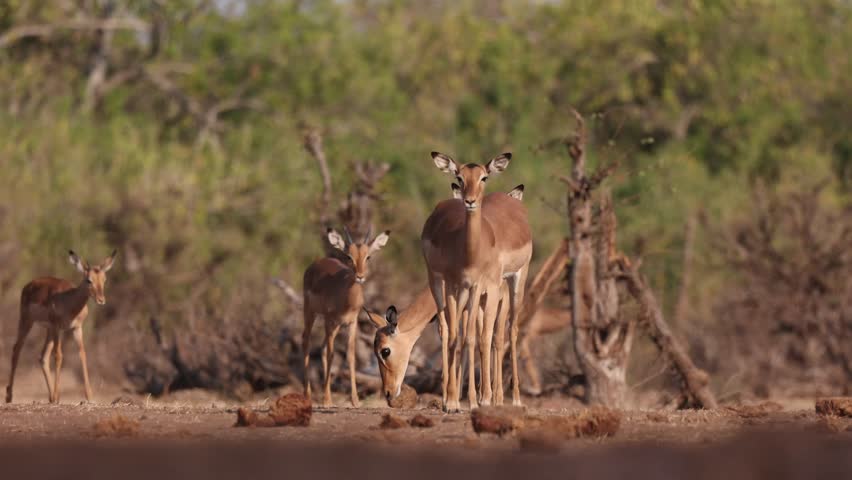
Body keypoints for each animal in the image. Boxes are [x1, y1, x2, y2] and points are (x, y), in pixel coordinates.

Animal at [6, 250, 117, 404]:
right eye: (89, 280)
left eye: (104, 279)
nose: (101, 300)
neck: (69, 301)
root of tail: (29, 284)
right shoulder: (57, 327)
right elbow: (59, 356)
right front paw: (59, 395)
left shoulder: (77, 329)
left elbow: (82, 354)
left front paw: (89, 396)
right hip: (27, 321)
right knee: (17, 349)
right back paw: (9, 397)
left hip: (48, 330)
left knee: (43, 357)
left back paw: (52, 397)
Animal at [302, 227, 389, 408]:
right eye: (349, 256)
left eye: (368, 256)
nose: (360, 276)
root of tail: (315, 264)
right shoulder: (329, 320)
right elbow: (332, 354)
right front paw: (327, 400)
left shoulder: (352, 322)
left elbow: (350, 356)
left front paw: (355, 400)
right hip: (311, 313)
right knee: (306, 341)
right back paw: (308, 396)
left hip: (335, 326)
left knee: (322, 347)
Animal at [423, 153, 532, 411]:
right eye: (459, 177)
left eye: (484, 177)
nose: (470, 201)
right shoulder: (456, 285)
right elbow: (460, 337)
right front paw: (455, 400)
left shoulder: (483, 289)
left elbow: (481, 337)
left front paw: (482, 399)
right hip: (437, 281)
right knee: (447, 330)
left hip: (516, 281)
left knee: (509, 331)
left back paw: (513, 398)